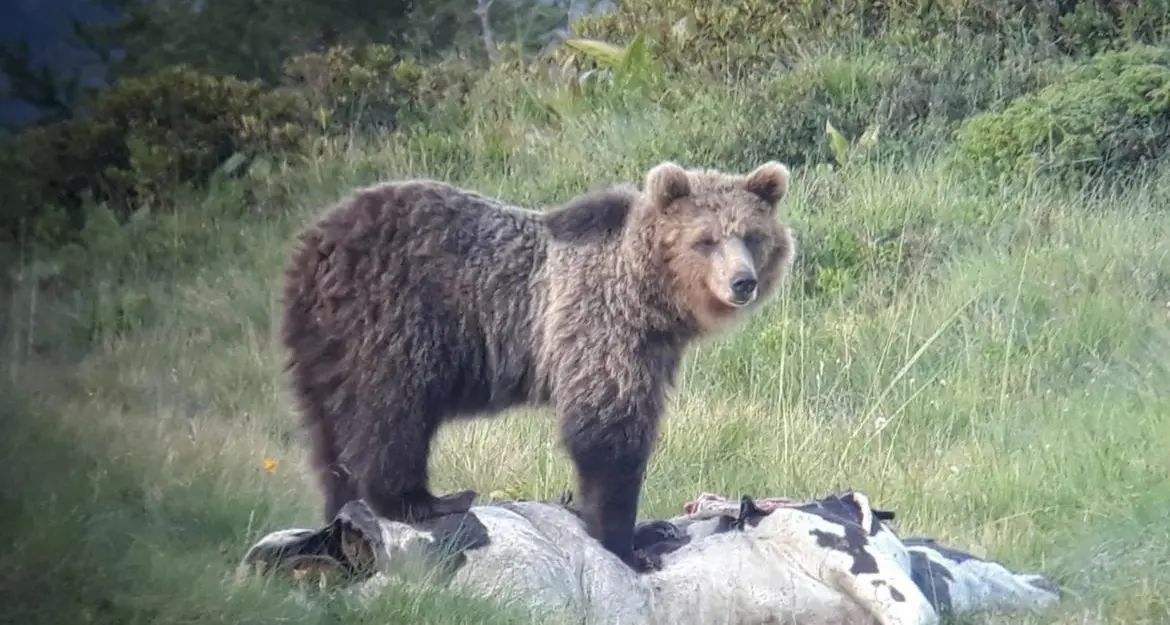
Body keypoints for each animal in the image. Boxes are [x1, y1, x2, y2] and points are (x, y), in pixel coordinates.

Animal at [279, 160, 796, 573]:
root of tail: (314, 246)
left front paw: (646, 531)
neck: (649, 297)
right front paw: (626, 544)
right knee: (390, 411)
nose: (742, 282)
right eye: (705, 240)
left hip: (324, 348)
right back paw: (422, 501)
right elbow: (607, 431)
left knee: (329, 435)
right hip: (393, 319)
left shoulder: (653, 347)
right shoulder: (600, 326)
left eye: (752, 236)